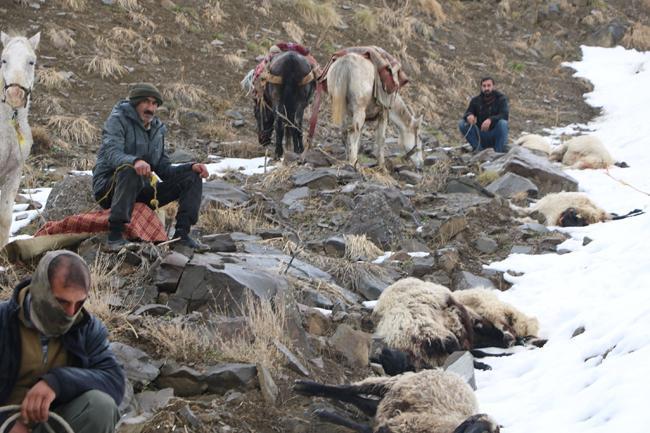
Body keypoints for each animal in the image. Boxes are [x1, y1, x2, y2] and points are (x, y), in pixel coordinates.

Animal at [292, 368, 496, 432]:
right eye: (474, 426)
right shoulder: (399, 424)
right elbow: (366, 428)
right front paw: (324, 414)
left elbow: (366, 428)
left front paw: (324, 413)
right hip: (393, 382)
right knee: (350, 389)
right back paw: (304, 386)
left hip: (389, 402)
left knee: (364, 402)